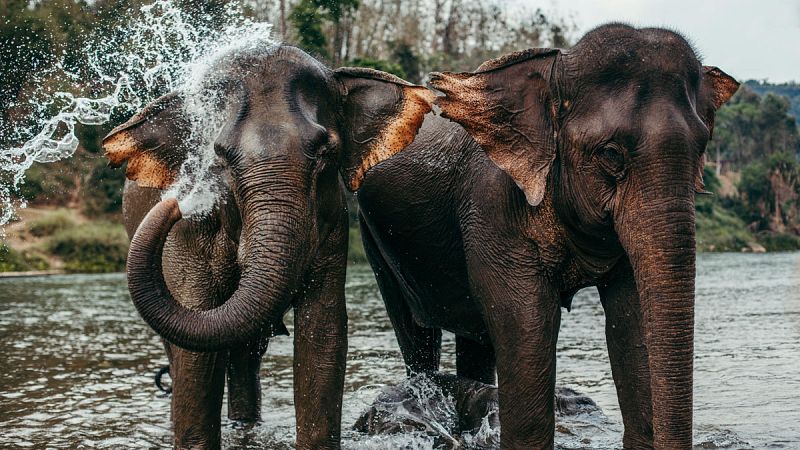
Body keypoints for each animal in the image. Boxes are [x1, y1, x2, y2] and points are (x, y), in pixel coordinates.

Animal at [102, 44, 434, 449]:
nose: (178, 203)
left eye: (324, 152)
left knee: (245, 354)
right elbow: (196, 351)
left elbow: (323, 334)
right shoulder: (187, 239)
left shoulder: (331, 223)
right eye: (219, 156)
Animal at [355, 23, 739, 449]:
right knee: (417, 332)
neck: (555, 67)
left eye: (702, 148)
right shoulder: (493, 206)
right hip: (373, 236)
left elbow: (632, 321)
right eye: (610, 154)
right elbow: (527, 327)